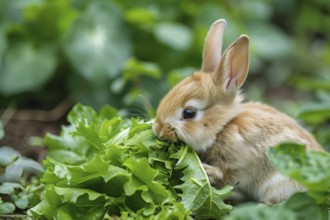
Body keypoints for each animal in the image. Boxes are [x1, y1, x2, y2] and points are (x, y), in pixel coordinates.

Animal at [153, 18, 324, 205]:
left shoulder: (241, 161)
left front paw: (208, 171)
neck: (224, 126)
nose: (158, 130)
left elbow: (228, 175)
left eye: (189, 113)